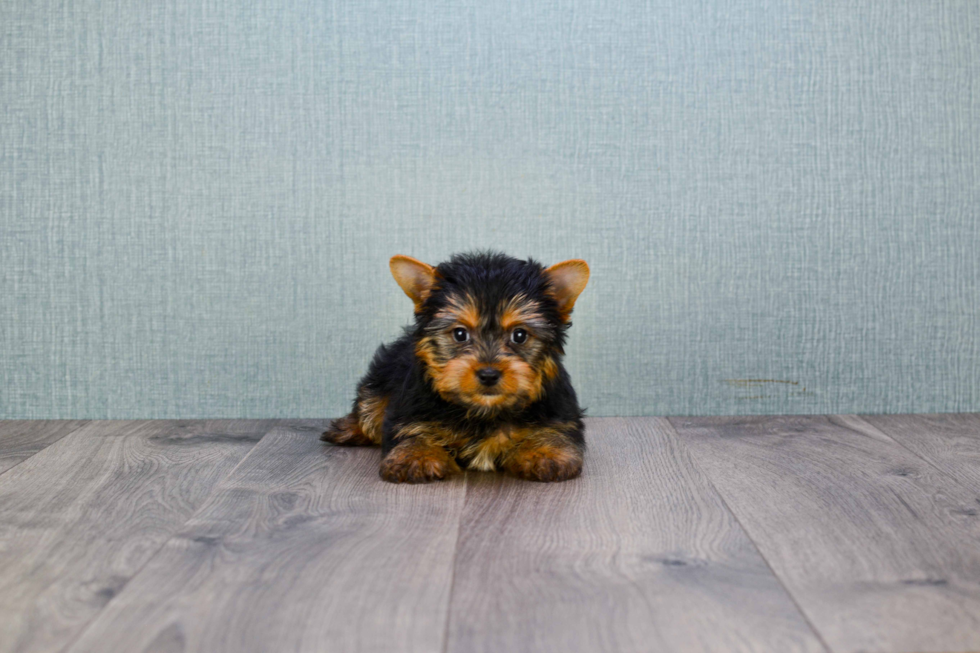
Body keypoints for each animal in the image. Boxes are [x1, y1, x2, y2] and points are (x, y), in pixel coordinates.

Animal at [324, 252, 588, 482]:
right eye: (460, 334)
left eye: (519, 335)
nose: (489, 374)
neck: (484, 411)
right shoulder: (410, 408)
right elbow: (412, 429)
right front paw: (416, 456)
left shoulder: (558, 411)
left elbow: (554, 430)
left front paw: (545, 453)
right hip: (383, 375)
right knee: (370, 405)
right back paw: (349, 428)